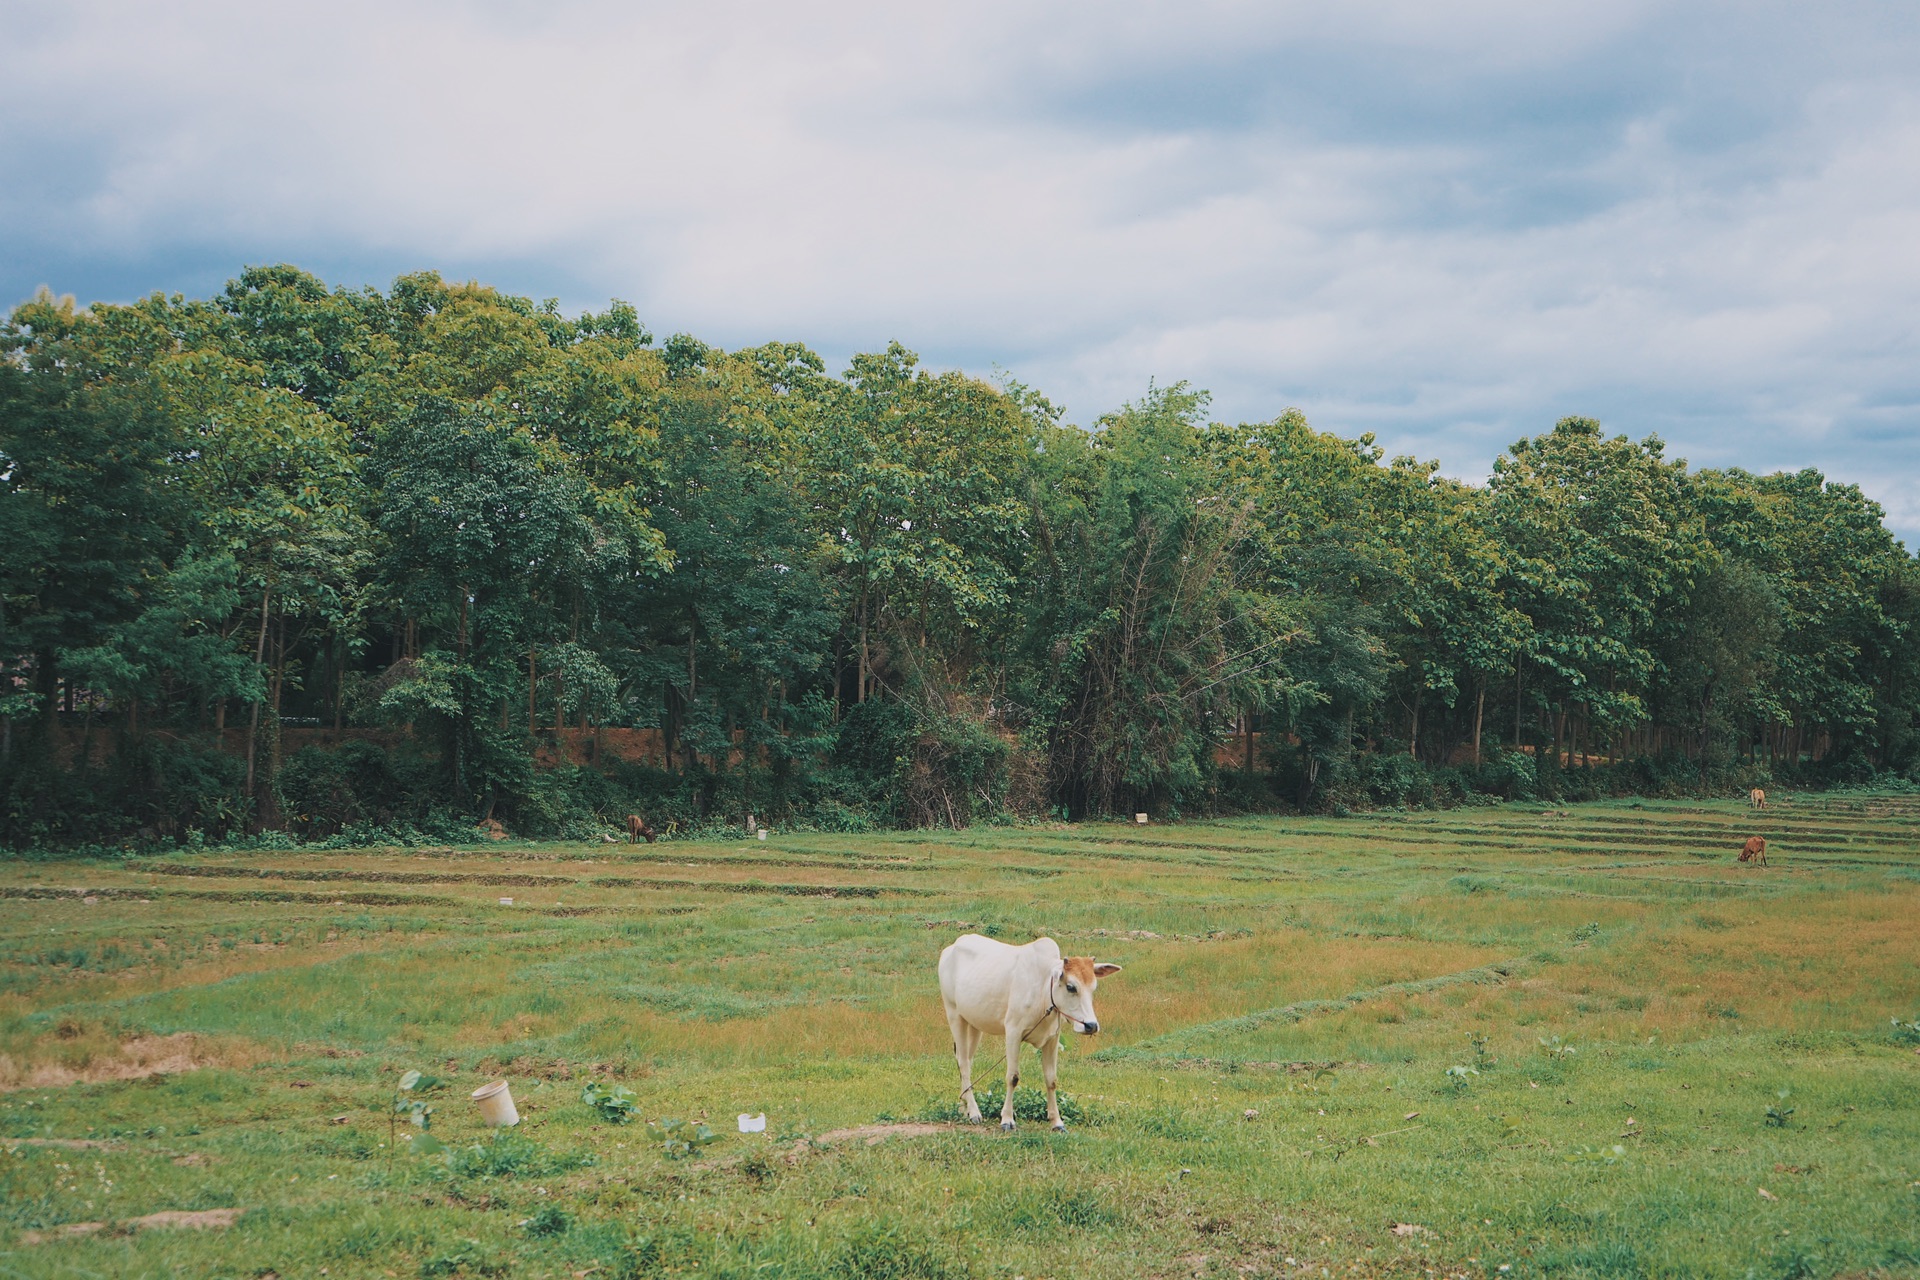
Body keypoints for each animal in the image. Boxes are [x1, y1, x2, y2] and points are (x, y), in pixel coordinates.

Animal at [936, 932, 1121, 1128]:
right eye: (1071, 987)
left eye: (1093, 987)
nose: (1091, 1025)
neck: (1043, 989)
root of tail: (951, 948)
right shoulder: (1013, 1033)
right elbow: (1013, 1077)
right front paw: (1007, 1119)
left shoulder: (1053, 1038)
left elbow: (1051, 1079)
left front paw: (1057, 1121)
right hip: (954, 1015)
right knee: (963, 1062)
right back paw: (974, 1112)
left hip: (975, 1023)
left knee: (966, 1061)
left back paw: (964, 1107)